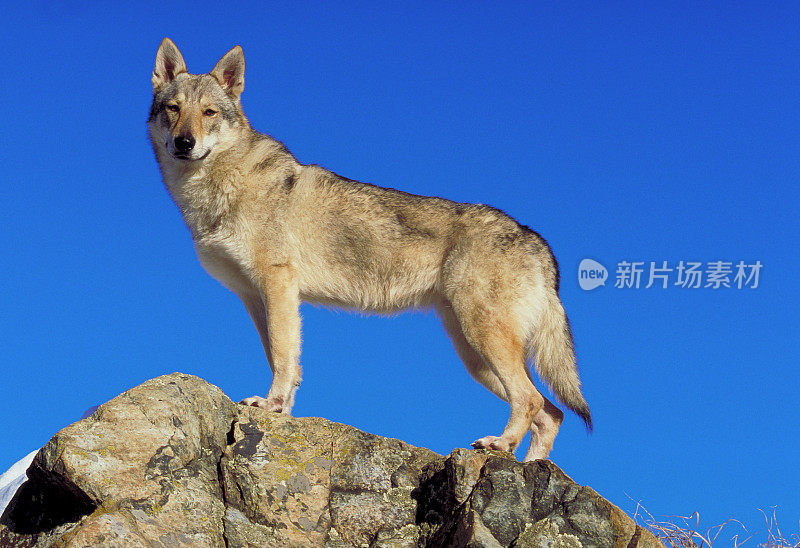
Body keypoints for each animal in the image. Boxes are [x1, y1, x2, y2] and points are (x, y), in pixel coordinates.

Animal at [147, 36, 592, 460]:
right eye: (173, 109)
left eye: (209, 113)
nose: (184, 142)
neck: (215, 191)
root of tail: (538, 241)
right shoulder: (257, 297)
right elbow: (283, 357)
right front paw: (284, 413)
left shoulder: (278, 285)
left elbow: (283, 355)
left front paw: (271, 406)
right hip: (475, 356)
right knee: (552, 413)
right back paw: (528, 465)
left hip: (484, 340)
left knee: (532, 401)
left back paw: (499, 445)